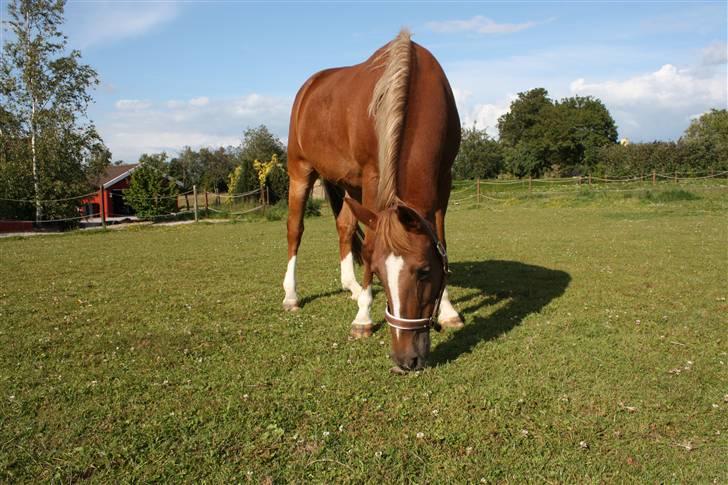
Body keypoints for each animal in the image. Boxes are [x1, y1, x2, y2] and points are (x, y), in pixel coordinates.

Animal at [282, 30, 460, 370]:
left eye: (424, 271)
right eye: (377, 272)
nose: (405, 359)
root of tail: (310, 85)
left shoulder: (444, 178)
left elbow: (442, 240)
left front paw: (448, 311)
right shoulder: (372, 176)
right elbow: (369, 243)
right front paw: (363, 318)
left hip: (348, 185)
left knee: (345, 227)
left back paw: (350, 285)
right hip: (301, 171)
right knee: (295, 230)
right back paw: (292, 295)